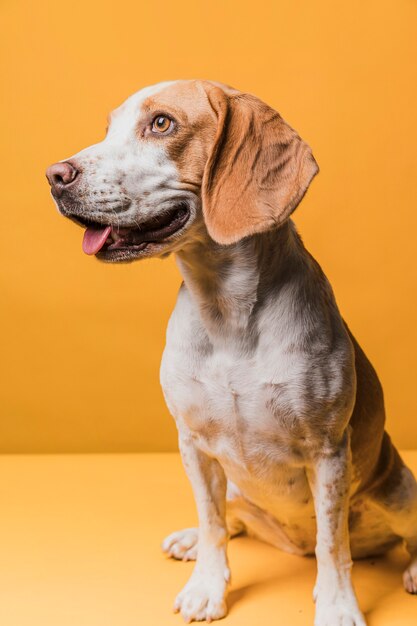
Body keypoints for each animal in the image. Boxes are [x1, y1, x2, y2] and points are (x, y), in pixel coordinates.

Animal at [46, 79, 416, 624]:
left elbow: (333, 545)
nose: (54, 175)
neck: (225, 312)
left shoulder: (328, 453)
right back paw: (191, 539)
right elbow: (214, 521)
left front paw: (336, 605)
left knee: (395, 537)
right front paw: (207, 585)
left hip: (398, 491)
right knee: (233, 517)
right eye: (109, 127)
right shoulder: (194, 445)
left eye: (162, 123)